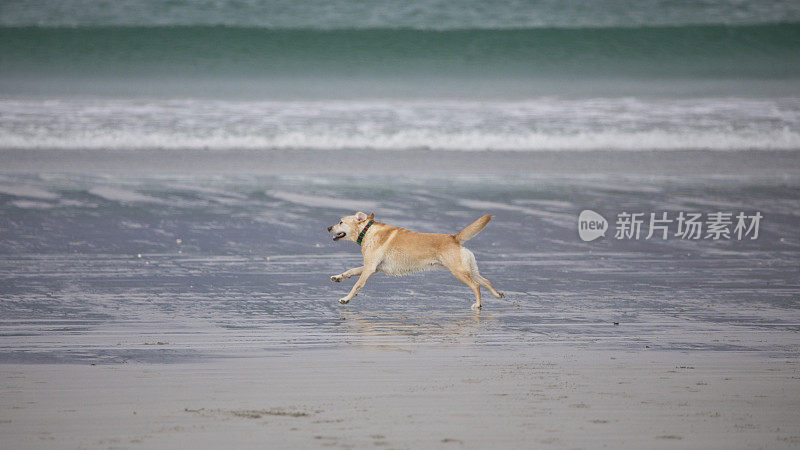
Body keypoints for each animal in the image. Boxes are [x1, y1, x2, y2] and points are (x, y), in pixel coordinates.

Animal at [326, 212, 504, 310]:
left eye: (340, 222)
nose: (328, 228)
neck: (367, 231)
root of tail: (454, 237)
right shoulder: (373, 268)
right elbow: (350, 271)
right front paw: (338, 277)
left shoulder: (370, 268)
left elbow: (356, 285)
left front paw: (346, 299)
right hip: (470, 269)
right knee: (486, 281)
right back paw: (498, 294)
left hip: (459, 272)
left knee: (476, 286)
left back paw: (478, 305)